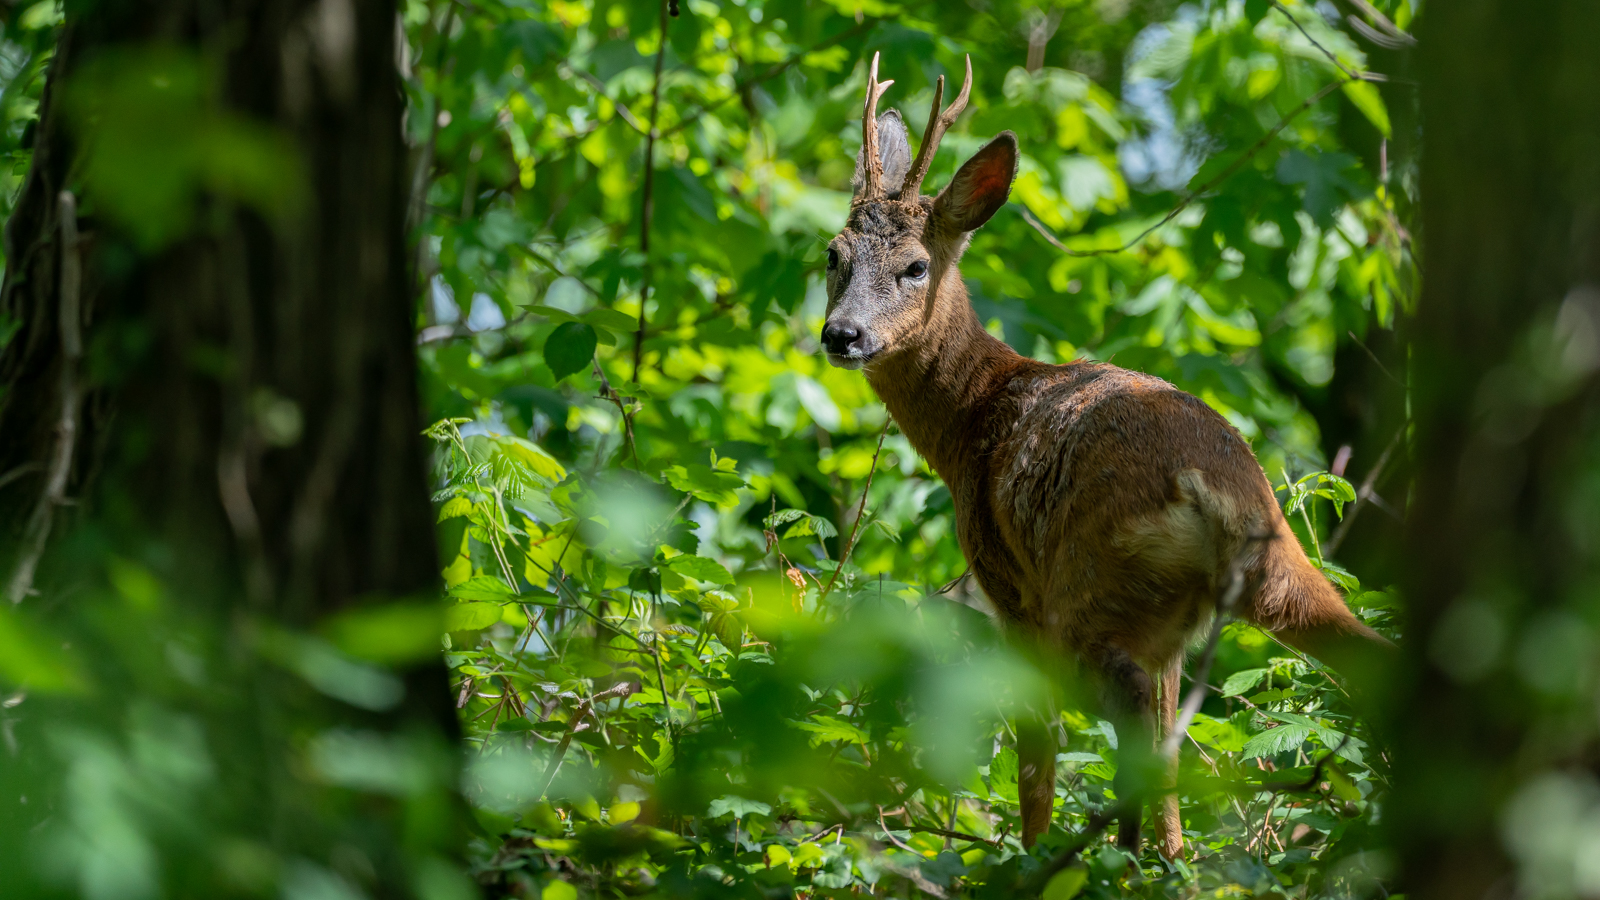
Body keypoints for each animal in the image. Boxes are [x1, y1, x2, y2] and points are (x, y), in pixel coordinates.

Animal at [819, 54, 1382, 851]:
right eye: (833, 254)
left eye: (916, 266)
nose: (842, 335)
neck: (972, 417)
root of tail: (1212, 487)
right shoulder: (1168, 637)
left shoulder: (1006, 583)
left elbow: (1035, 757)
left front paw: (1027, 853)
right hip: (1278, 577)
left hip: (1088, 584)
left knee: (1129, 718)